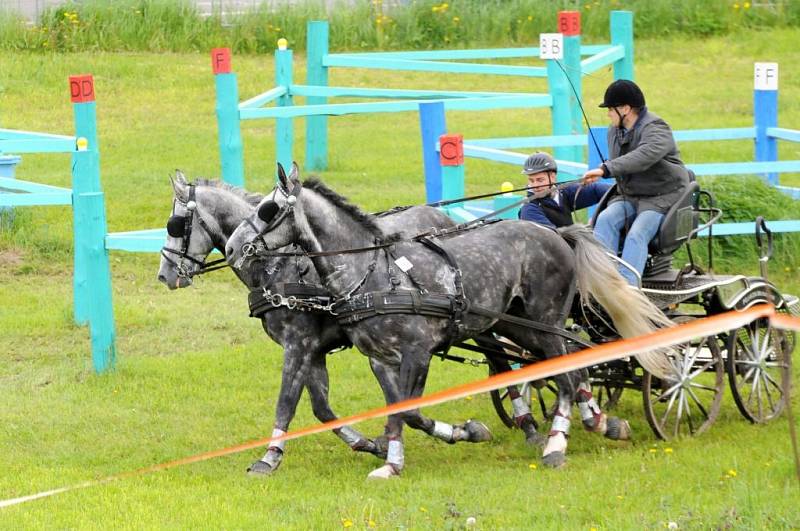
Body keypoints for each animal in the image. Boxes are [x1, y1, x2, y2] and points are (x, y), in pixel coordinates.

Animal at [155, 172, 494, 476]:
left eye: (176, 224)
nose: (165, 275)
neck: (279, 266)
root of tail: (442, 216)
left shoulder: (298, 344)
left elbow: (286, 401)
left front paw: (269, 458)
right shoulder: (312, 351)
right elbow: (322, 410)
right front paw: (369, 444)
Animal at [228, 163, 672, 478]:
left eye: (267, 210)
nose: (233, 247)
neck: (373, 271)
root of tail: (558, 235)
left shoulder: (415, 352)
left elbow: (407, 411)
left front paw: (461, 434)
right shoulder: (378, 358)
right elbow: (393, 410)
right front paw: (392, 460)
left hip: (545, 322)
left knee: (564, 379)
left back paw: (557, 445)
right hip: (516, 327)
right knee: (568, 371)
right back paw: (597, 424)